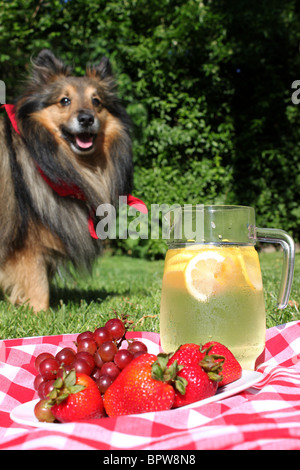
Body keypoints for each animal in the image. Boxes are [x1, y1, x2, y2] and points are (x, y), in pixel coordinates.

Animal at [0, 49, 132, 312]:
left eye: (96, 101)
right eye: (64, 100)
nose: (86, 119)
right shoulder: (27, 243)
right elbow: (38, 285)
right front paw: (40, 315)